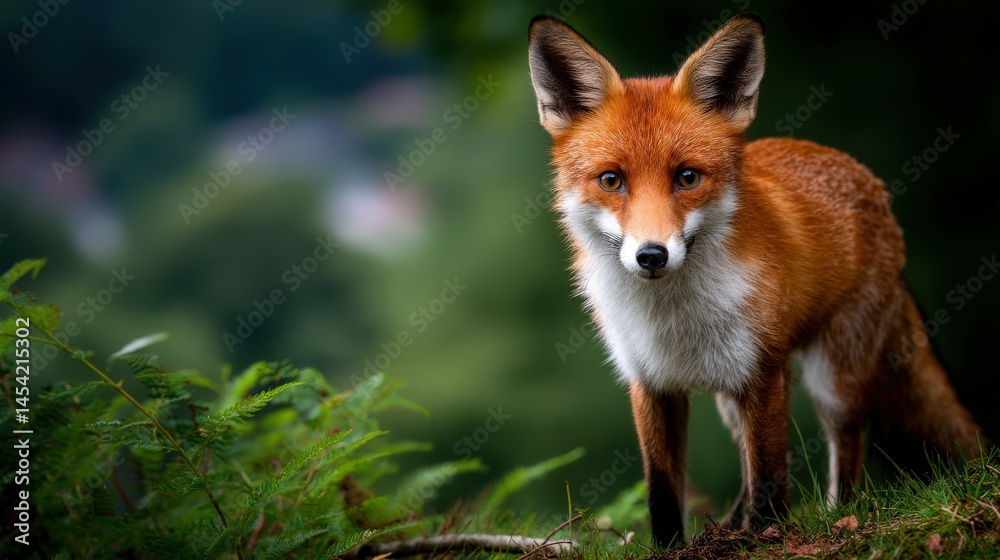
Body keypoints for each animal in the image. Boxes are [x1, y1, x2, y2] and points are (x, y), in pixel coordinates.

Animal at [527, 13, 986, 547]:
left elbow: (769, 475)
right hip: (733, 397)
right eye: (611, 180)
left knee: (846, 444)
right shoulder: (650, 382)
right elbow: (664, 489)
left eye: (687, 177)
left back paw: (836, 517)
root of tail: (866, 178)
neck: (674, 318)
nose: (651, 255)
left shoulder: (764, 373)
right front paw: (674, 548)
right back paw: (730, 529)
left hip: (833, 380)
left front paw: (767, 537)